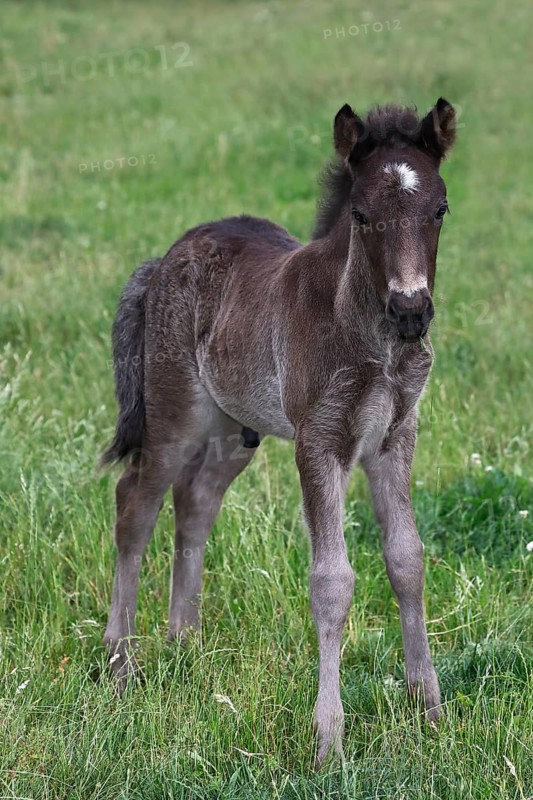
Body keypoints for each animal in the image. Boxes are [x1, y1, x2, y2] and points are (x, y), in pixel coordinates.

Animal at [101, 97, 456, 766]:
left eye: (440, 209)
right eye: (362, 215)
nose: (411, 311)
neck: (370, 335)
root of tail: (163, 260)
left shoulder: (395, 438)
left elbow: (407, 559)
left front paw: (431, 713)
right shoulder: (321, 441)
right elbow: (333, 580)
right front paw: (329, 742)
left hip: (234, 427)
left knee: (196, 501)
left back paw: (185, 645)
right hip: (176, 413)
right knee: (137, 501)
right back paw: (119, 661)